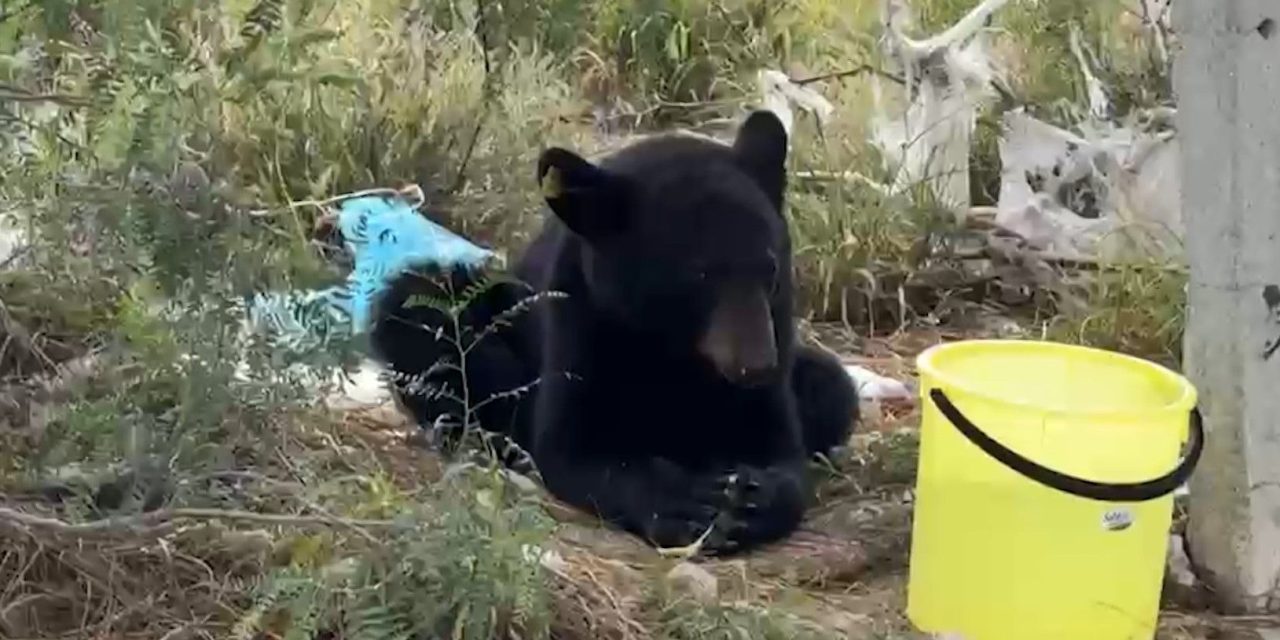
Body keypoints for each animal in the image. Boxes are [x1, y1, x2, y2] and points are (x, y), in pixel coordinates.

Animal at [369, 109, 860, 554]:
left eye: (769, 267)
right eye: (698, 275)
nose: (755, 367)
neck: (674, 351)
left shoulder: (775, 326)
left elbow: (778, 445)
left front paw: (755, 497)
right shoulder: (583, 323)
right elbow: (575, 449)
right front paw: (680, 504)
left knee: (829, 383)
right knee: (423, 315)